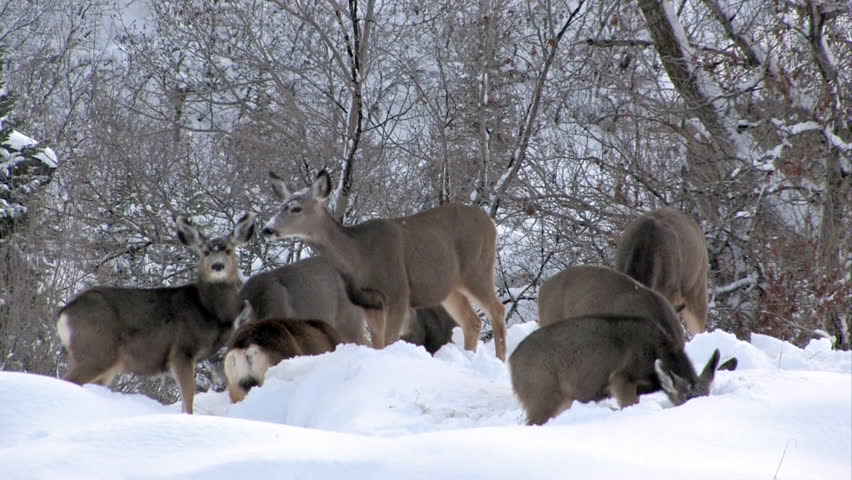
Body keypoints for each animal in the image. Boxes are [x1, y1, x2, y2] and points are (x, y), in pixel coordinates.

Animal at [56, 213, 255, 414]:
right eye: (206, 251)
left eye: (228, 250)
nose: (218, 266)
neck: (209, 310)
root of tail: (64, 314)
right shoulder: (182, 350)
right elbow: (188, 399)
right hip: (95, 350)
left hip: (104, 364)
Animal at [260, 169, 508, 360]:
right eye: (280, 205)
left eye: (296, 208)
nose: (267, 229)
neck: (360, 257)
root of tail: (491, 223)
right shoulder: (368, 303)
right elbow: (378, 344)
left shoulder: (398, 293)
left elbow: (389, 342)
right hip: (450, 287)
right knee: (473, 321)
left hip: (477, 269)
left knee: (497, 309)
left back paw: (500, 359)